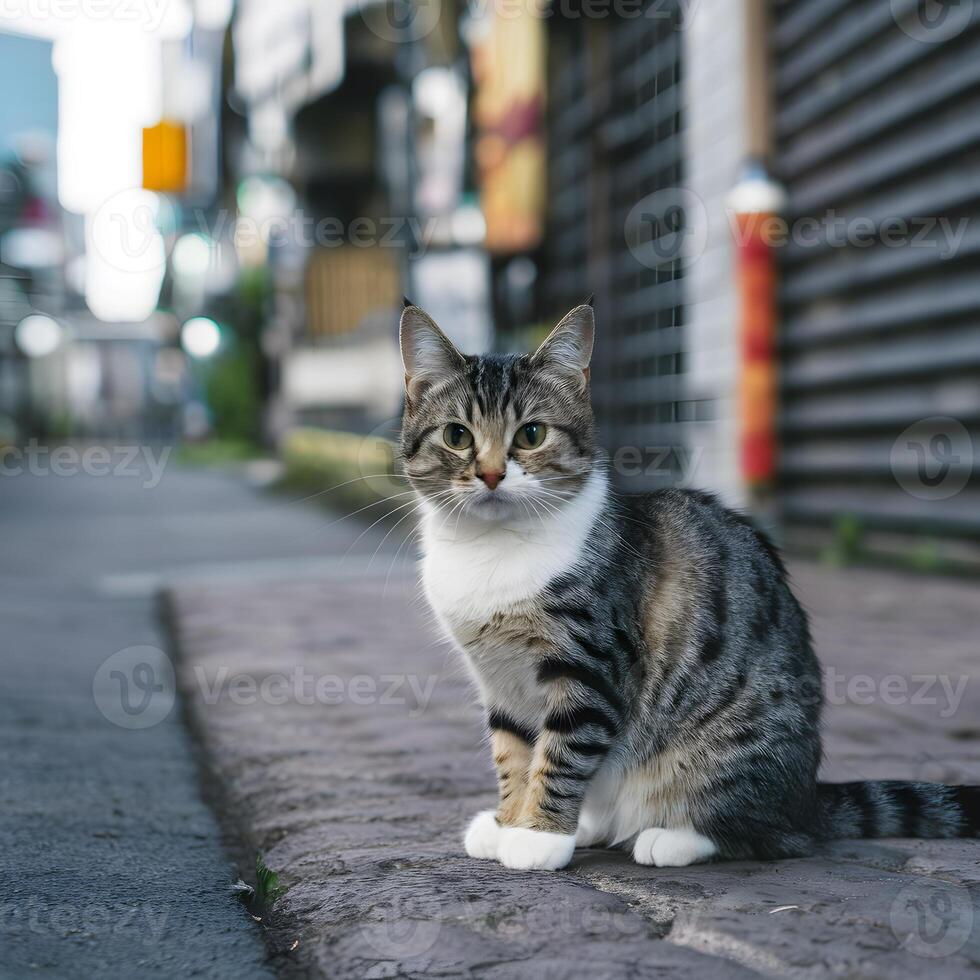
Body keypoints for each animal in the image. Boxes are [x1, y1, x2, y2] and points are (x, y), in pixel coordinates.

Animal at [398, 300, 980, 872]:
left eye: (531, 434)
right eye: (456, 436)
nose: (492, 475)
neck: (491, 550)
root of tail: (809, 799)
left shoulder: (591, 663)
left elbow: (562, 753)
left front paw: (537, 836)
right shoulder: (499, 679)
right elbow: (514, 752)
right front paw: (506, 823)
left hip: (732, 750)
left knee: (773, 836)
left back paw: (669, 838)